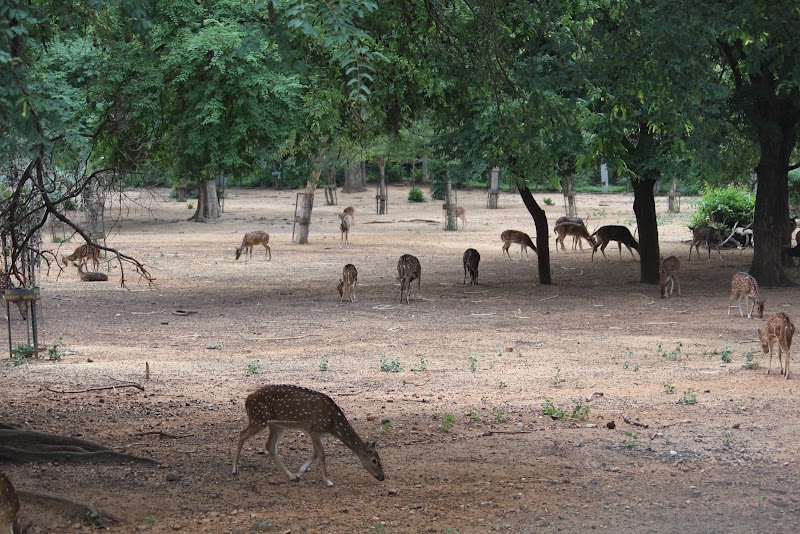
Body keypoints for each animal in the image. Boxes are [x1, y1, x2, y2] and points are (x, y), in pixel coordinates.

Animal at [232, 384, 385, 487]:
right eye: (374, 460)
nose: (382, 477)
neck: (333, 424)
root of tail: (247, 400)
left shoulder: (318, 432)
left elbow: (315, 453)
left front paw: (299, 474)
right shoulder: (314, 429)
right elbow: (322, 454)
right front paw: (328, 481)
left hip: (276, 426)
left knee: (270, 446)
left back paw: (291, 476)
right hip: (259, 419)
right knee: (242, 434)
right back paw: (234, 469)